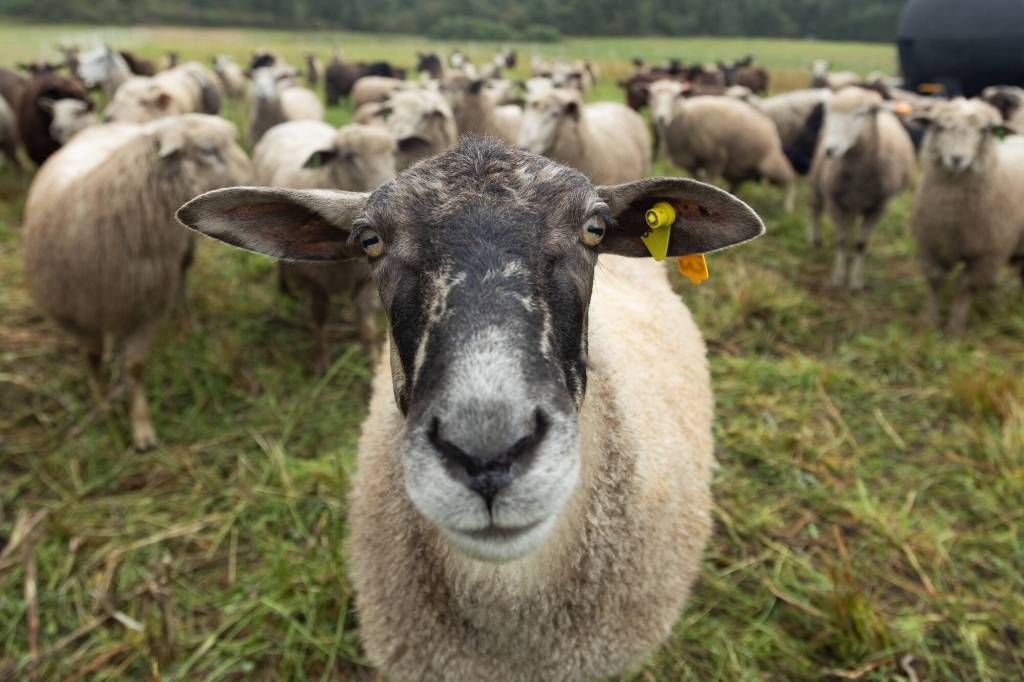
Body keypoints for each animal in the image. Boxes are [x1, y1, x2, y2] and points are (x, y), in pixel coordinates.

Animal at [23, 114, 252, 451]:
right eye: (209, 149)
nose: (253, 178)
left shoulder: (148, 312)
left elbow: (135, 367)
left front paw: (141, 426)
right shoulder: (72, 318)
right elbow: (92, 359)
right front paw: (104, 407)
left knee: (182, 275)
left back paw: (185, 319)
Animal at [253, 121, 396, 371]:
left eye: (392, 152)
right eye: (349, 156)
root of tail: (296, 122)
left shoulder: (365, 279)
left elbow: (365, 318)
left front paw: (370, 356)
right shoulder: (313, 280)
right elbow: (318, 317)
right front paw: (321, 361)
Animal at [648, 81, 795, 210]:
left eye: (676, 96)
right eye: (652, 96)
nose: (661, 119)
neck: (685, 118)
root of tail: (769, 124)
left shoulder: (715, 158)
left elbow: (708, 182)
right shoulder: (691, 163)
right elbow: (695, 180)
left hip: (771, 163)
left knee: (789, 179)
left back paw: (788, 208)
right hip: (738, 166)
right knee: (736, 183)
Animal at [809, 86, 916, 291]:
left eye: (861, 113)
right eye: (830, 112)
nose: (830, 150)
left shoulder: (878, 207)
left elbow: (861, 244)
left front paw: (856, 282)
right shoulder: (835, 202)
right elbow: (842, 241)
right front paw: (838, 278)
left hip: (856, 204)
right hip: (818, 183)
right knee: (816, 210)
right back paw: (816, 242)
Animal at [908, 98, 1024, 333]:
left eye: (984, 130)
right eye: (939, 126)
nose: (957, 159)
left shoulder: (986, 255)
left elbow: (965, 288)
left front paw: (954, 329)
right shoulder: (930, 245)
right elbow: (935, 281)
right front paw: (931, 323)